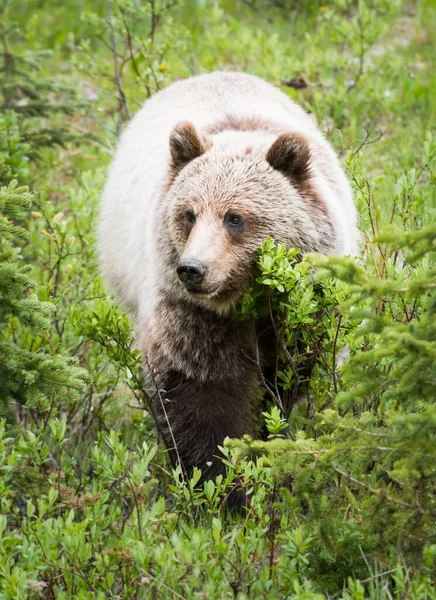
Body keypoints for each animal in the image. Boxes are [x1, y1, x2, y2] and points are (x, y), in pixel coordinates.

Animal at [99, 70, 358, 494]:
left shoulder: (302, 306)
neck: (247, 298)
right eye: (188, 214)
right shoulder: (192, 315)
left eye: (234, 217)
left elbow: (286, 375)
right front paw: (224, 483)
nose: (192, 268)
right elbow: (203, 394)